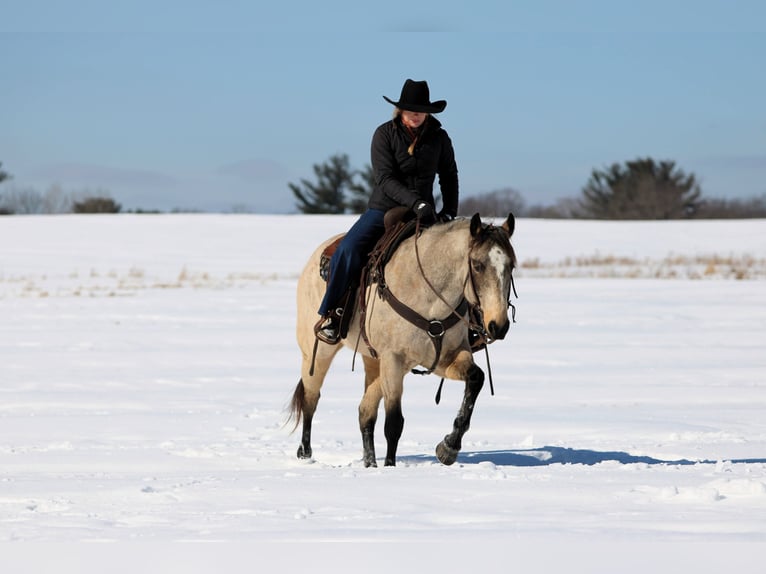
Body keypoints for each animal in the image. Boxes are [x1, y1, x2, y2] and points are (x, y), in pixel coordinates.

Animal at [289, 212, 516, 467]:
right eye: (477, 265)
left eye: (511, 266)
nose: (498, 325)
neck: (430, 295)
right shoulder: (394, 360)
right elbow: (394, 423)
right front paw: (391, 467)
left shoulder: (445, 357)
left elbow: (476, 379)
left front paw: (448, 447)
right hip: (317, 351)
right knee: (310, 399)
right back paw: (305, 454)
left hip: (373, 360)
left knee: (365, 411)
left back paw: (370, 463)